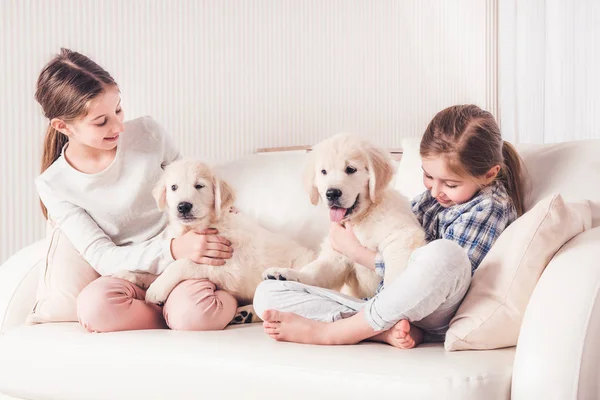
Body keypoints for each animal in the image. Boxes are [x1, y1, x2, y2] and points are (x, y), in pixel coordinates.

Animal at [115, 158, 316, 320]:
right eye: (173, 187)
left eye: (199, 186)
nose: (183, 206)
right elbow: (165, 266)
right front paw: (131, 274)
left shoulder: (227, 267)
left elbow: (182, 264)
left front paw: (156, 289)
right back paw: (244, 314)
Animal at [262, 133, 426, 298]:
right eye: (323, 172)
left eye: (350, 169)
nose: (332, 193)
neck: (360, 219)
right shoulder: (337, 255)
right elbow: (315, 271)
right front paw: (287, 273)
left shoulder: (402, 237)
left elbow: (395, 273)